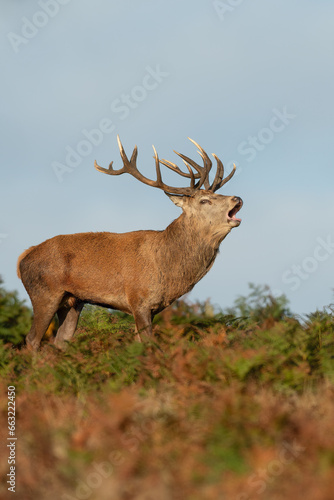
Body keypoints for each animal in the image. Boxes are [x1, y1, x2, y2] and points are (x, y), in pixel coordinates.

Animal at [17, 135, 243, 350]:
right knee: (32, 339)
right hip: (44, 293)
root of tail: (22, 259)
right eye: (204, 200)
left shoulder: (151, 308)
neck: (167, 268)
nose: (237, 198)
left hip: (72, 302)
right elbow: (149, 344)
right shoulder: (138, 300)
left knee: (61, 341)